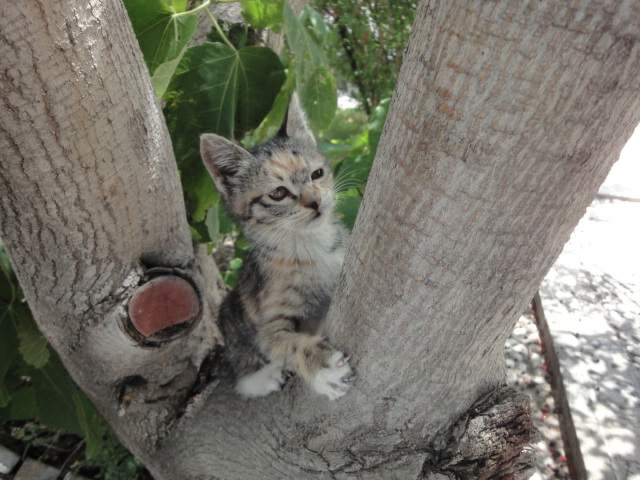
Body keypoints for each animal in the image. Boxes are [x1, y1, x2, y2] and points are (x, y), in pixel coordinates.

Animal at [199, 133, 352, 400]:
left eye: (317, 174)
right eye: (279, 193)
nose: (315, 201)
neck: (311, 246)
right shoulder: (268, 324)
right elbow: (287, 343)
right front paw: (323, 367)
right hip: (231, 314)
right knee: (240, 368)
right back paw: (265, 377)